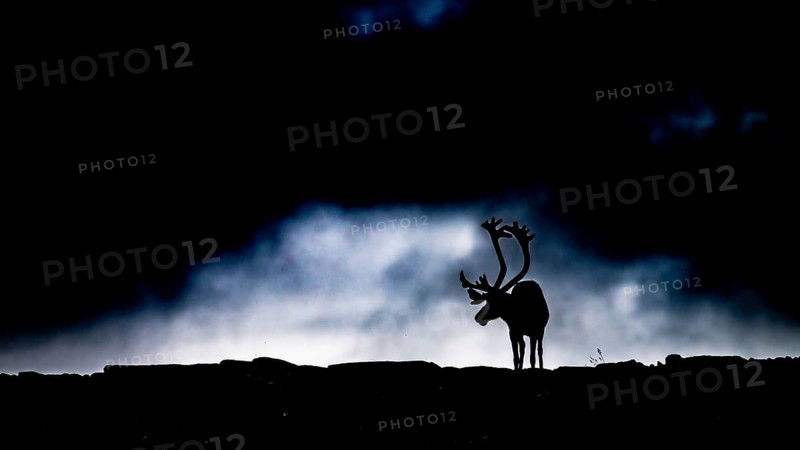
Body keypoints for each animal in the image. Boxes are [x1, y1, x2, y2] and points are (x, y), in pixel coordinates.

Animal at [459, 218, 549, 370]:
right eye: (485, 300)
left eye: (494, 302)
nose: (477, 317)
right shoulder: (513, 330)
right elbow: (516, 355)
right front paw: (518, 368)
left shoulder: (532, 330)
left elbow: (532, 356)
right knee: (524, 349)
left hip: (540, 330)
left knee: (539, 351)